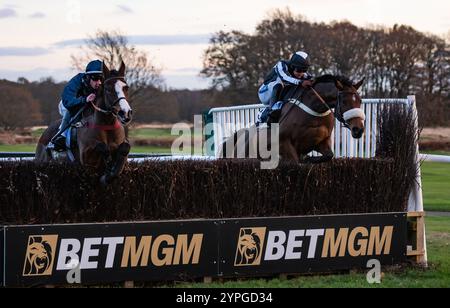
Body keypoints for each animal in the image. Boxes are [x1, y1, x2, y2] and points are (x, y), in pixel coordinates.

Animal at [221, 74, 366, 164]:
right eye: (344, 101)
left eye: (360, 100)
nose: (358, 129)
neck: (313, 111)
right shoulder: (284, 143)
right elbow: (295, 161)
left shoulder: (321, 141)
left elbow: (329, 155)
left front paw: (308, 159)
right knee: (277, 84)